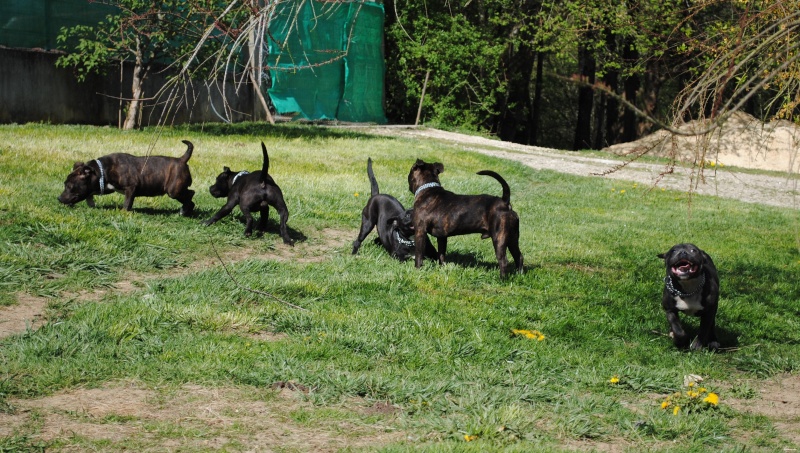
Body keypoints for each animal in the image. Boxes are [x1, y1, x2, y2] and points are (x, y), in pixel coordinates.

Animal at [57, 139, 195, 215]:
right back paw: (186, 210)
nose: (58, 198)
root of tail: (181, 160)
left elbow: (127, 202)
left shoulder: (130, 187)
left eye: (69, 186)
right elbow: (90, 193)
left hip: (173, 190)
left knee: (190, 194)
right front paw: (91, 203)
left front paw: (123, 213)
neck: (101, 170)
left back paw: (184, 210)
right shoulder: (107, 187)